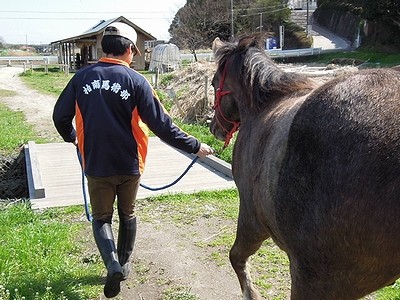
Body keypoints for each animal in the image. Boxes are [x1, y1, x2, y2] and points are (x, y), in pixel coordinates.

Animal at [208, 35, 400, 300]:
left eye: (214, 82)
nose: (213, 127)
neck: (263, 107)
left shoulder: (251, 219)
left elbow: (236, 257)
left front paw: (251, 293)